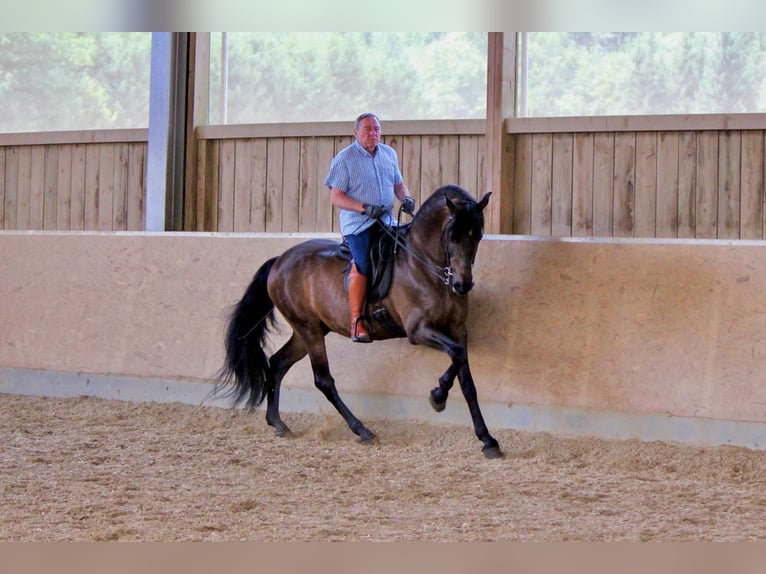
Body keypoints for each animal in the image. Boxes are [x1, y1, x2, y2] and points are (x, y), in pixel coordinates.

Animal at [216, 184, 502, 459]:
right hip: (309, 330)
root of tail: (279, 261)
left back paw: (278, 423)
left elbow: (464, 374)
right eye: (452, 236)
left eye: (477, 236)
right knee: (323, 380)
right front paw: (438, 397)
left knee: (277, 364)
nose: (462, 285)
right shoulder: (418, 330)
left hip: (308, 330)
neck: (423, 265)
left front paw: (486, 438)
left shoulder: (458, 329)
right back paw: (362, 430)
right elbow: (456, 355)